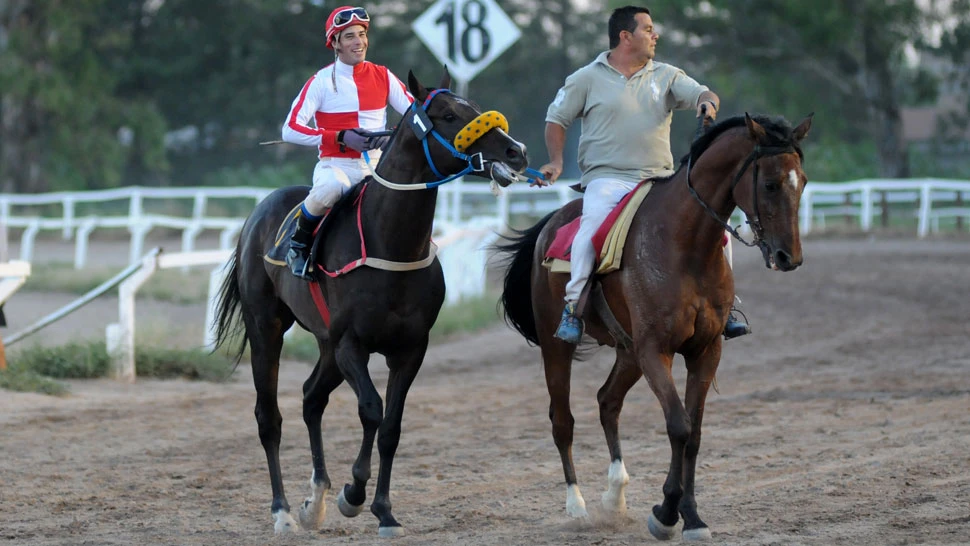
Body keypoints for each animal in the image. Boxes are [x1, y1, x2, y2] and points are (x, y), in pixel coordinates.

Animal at [213, 69, 528, 536]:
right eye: (450, 115)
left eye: (473, 107)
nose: (516, 151)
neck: (390, 243)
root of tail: (257, 214)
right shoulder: (352, 344)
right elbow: (371, 410)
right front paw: (354, 494)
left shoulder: (410, 348)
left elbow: (391, 426)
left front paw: (384, 510)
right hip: (266, 326)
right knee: (269, 417)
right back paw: (283, 511)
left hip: (325, 344)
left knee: (311, 398)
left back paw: (315, 501)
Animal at [500, 112, 808, 536]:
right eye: (770, 184)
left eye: (803, 182)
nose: (788, 257)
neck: (685, 246)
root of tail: (551, 224)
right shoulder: (655, 351)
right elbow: (678, 425)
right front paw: (665, 512)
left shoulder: (705, 351)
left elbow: (694, 432)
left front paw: (691, 516)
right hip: (557, 348)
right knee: (563, 421)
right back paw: (577, 506)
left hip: (628, 353)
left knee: (607, 402)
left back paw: (615, 495)